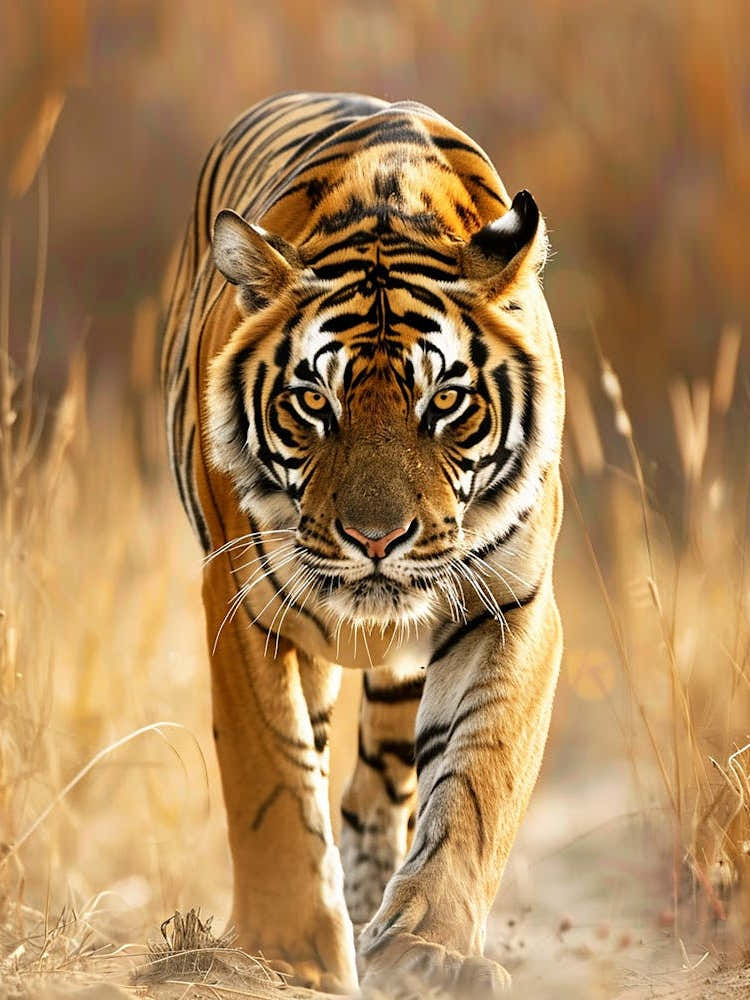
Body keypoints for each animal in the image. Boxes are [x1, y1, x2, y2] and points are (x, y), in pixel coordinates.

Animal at [161, 91, 564, 997]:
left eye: (444, 401)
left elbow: (476, 783)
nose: (376, 539)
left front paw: (429, 947)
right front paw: (290, 952)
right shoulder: (242, 604)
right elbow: (270, 778)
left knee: (383, 779)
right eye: (315, 401)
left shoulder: (513, 609)